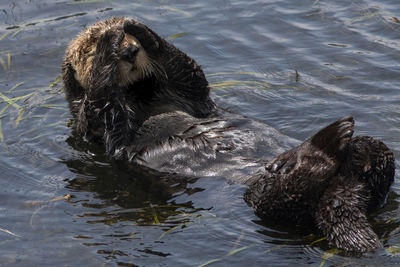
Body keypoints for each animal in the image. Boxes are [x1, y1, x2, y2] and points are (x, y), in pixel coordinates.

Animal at [61, 17, 396, 253]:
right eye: (88, 47)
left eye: (135, 44)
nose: (130, 49)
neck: (141, 97)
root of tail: (341, 192)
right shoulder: (93, 120)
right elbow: (102, 97)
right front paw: (108, 38)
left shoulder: (190, 96)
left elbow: (188, 71)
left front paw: (135, 26)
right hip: (262, 197)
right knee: (284, 196)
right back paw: (329, 139)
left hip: (369, 161)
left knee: (376, 159)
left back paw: (343, 148)